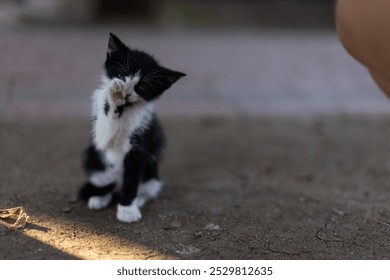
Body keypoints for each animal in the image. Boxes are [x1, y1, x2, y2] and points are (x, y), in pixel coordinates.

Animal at [79, 32, 186, 222]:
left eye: (141, 85)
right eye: (121, 75)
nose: (126, 92)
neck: (126, 108)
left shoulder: (140, 146)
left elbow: (132, 177)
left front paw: (127, 209)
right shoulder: (100, 131)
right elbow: (104, 135)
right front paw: (114, 93)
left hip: (152, 170)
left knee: (145, 185)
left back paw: (138, 199)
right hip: (93, 157)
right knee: (105, 181)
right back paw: (99, 197)